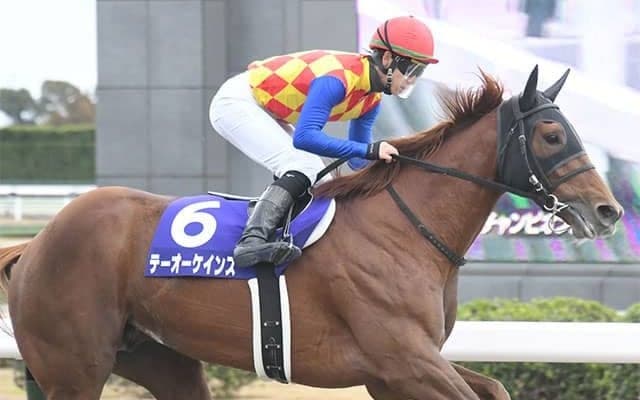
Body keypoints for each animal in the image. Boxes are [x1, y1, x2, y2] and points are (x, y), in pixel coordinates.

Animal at [0, 66, 623, 400]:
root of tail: (35, 242)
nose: (609, 211)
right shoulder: (403, 360)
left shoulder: (401, 367)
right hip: (74, 368)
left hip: (158, 358)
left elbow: (495, 387)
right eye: (551, 135)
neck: (406, 231)